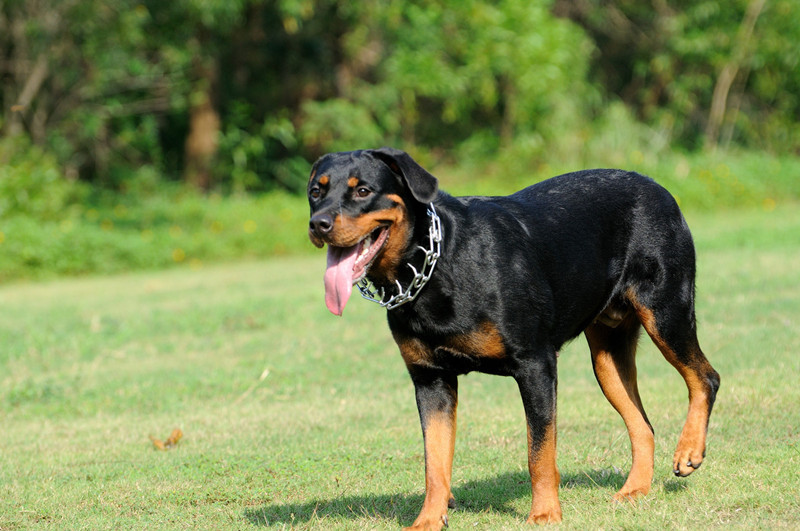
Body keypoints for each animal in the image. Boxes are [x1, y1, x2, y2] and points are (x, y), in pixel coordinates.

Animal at [304, 148, 720, 528]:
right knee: (642, 424)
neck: (437, 266)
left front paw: (545, 514)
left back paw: (688, 451)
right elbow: (434, 462)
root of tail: (658, 187)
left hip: (665, 313)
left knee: (705, 377)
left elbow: (540, 451)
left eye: (363, 190)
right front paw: (428, 520)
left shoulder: (535, 365)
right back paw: (635, 489)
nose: (318, 224)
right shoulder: (430, 380)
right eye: (315, 192)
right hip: (608, 357)